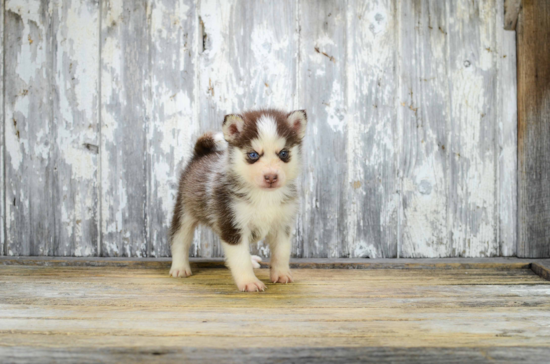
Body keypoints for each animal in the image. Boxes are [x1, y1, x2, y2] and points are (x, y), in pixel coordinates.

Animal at [170, 109, 308, 292]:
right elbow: (240, 259)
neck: (264, 196)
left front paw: (281, 274)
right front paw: (249, 282)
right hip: (185, 212)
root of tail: (200, 154)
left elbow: (281, 253)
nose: (271, 177)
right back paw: (179, 267)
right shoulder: (232, 225)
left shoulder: (282, 225)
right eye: (253, 155)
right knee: (179, 240)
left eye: (284, 153)